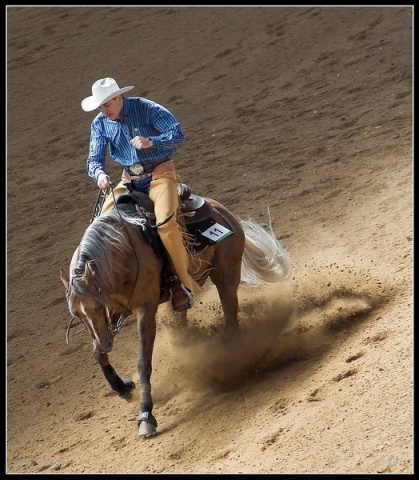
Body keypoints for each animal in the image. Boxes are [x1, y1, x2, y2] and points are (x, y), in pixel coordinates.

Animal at [60, 185, 292, 438]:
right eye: (76, 314)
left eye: (98, 305)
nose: (106, 343)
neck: (121, 252)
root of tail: (222, 210)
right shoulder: (110, 318)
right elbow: (98, 354)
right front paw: (121, 387)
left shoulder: (145, 311)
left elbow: (143, 363)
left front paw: (146, 416)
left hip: (226, 276)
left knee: (232, 318)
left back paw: (234, 358)